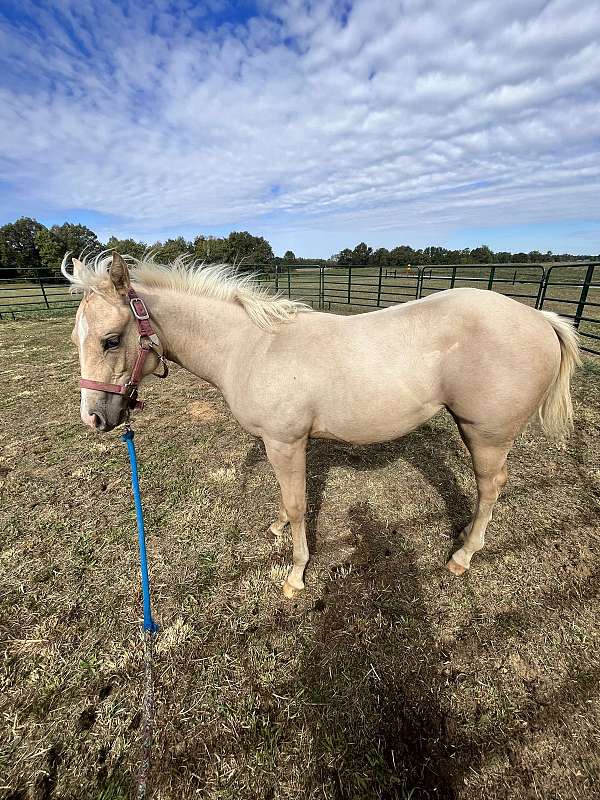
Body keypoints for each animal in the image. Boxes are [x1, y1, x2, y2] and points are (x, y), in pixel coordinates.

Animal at [63, 253, 580, 596]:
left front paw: (295, 574)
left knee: (491, 486)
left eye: (111, 340)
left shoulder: (286, 442)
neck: (250, 347)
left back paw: (463, 555)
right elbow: (285, 499)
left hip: (485, 434)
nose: (94, 418)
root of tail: (538, 316)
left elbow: (297, 506)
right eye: (78, 337)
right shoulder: (281, 444)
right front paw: (276, 528)